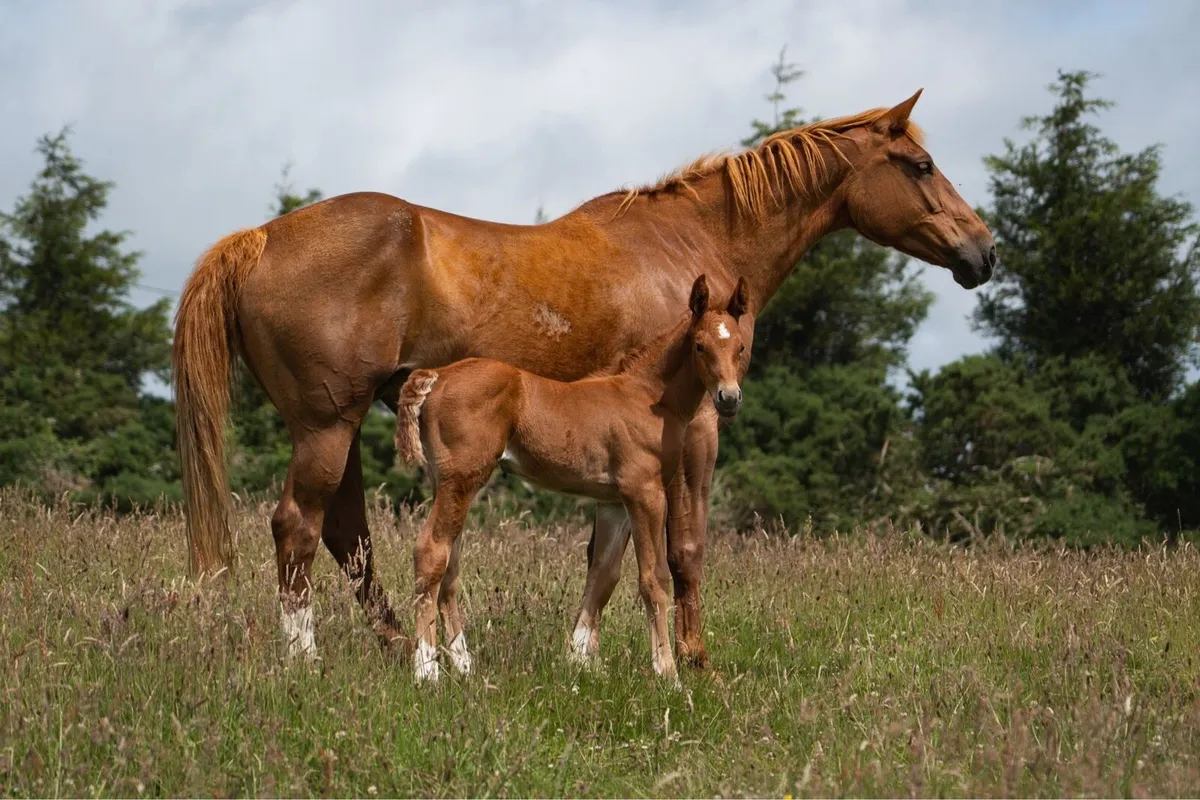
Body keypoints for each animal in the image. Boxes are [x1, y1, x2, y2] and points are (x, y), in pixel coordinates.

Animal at [395, 275, 749, 682]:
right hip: (461, 480)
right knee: (431, 552)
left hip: (448, 484)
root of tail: (436, 376)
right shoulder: (645, 492)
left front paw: (579, 661)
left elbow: (603, 575)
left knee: (450, 564)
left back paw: (464, 665)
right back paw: (426, 670)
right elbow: (653, 578)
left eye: (740, 347)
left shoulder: (613, 502)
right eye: (700, 346)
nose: (728, 398)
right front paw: (667, 673)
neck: (648, 398)